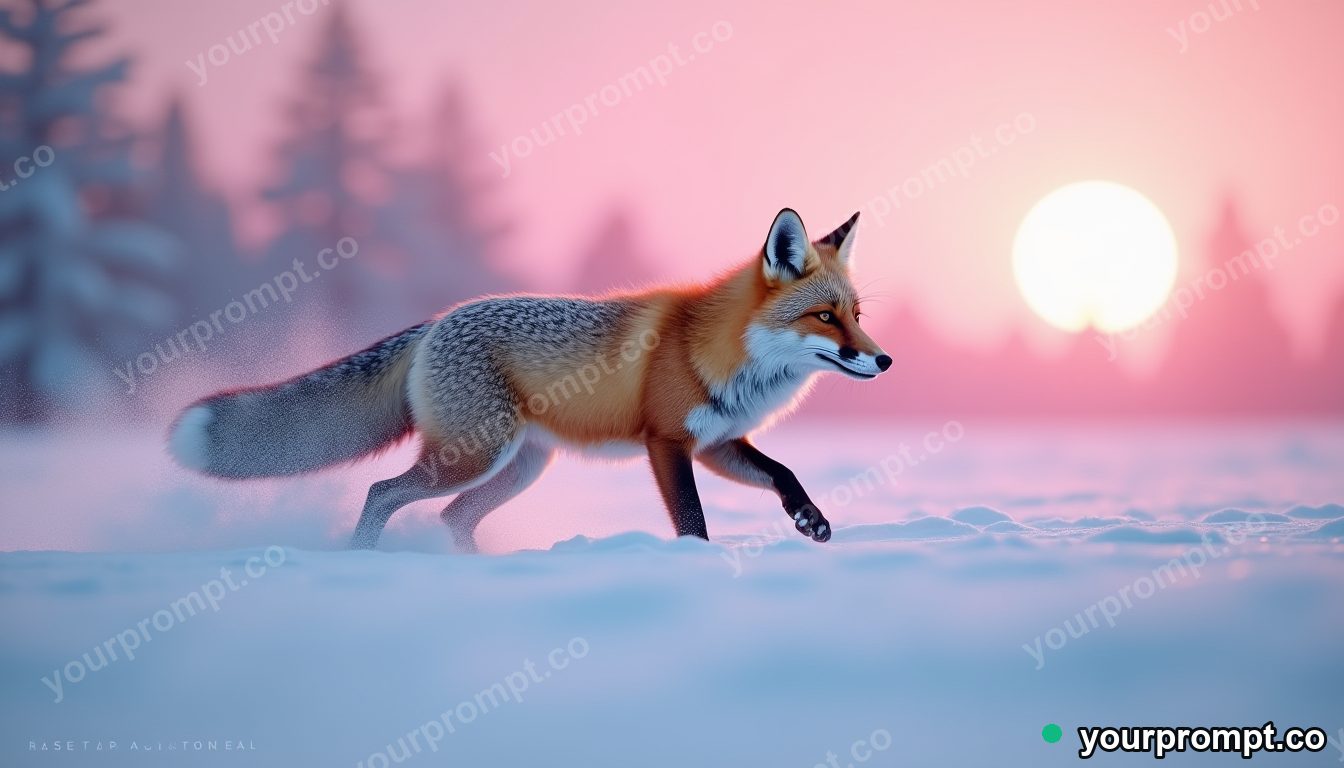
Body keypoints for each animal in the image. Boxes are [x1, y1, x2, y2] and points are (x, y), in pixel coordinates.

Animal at [168, 208, 890, 551]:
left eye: (857, 315)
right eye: (825, 317)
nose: (884, 362)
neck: (717, 350)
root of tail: (436, 321)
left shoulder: (717, 444)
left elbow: (783, 472)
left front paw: (811, 521)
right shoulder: (667, 443)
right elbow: (692, 520)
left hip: (518, 468)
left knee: (453, 516)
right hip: (473, 456)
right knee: (380, 492)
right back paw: (363, 561)